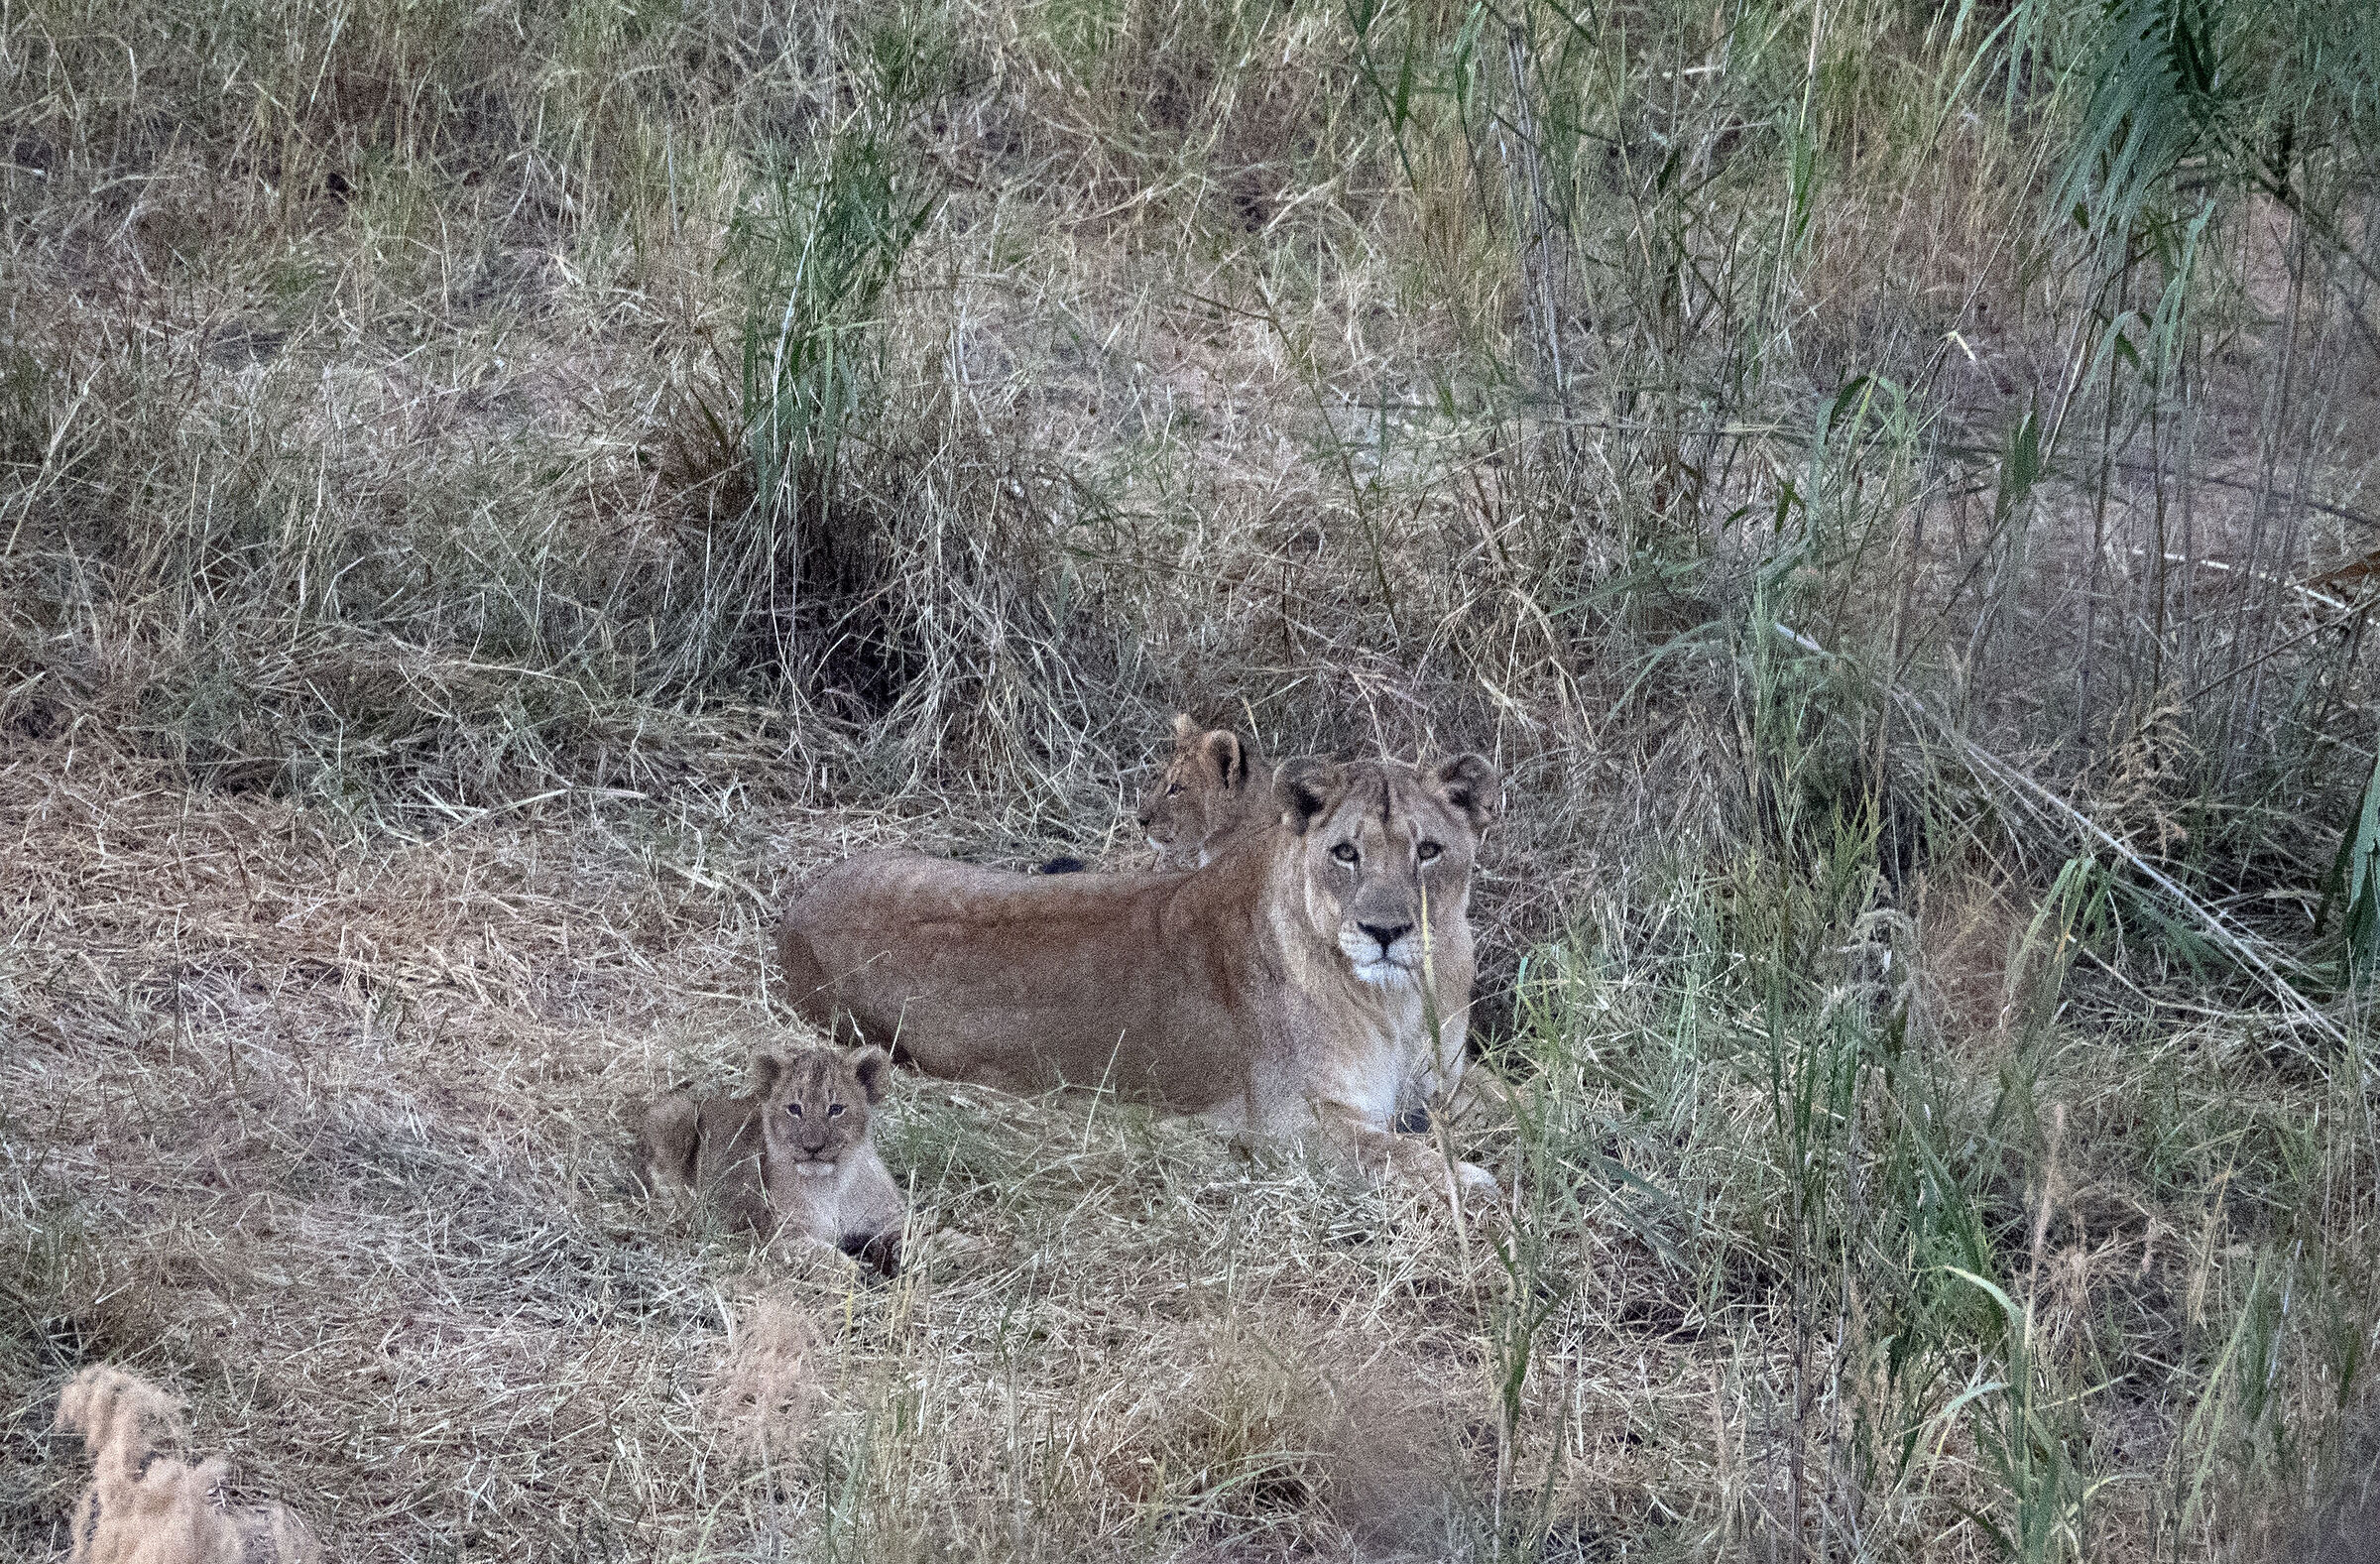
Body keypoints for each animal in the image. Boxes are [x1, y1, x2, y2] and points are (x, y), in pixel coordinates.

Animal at [636, 1045, 905, 1275]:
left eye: (836, 1109)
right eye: (794, 1109)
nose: (812, 1147)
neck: (832, 1183)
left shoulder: (890, 1215)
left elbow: (908, 1235)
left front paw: (898, 1258)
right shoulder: (780, 1237)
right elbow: (824, 1257)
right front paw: (853, 1271)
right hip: (673, 1114)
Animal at [777, 754, 1503, 1204]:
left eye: (1428, 850)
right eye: (1346, 852)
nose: (1386, 931)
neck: (1401, 999)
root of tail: (795, 906)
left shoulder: (1448, 1079)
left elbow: (1511, 1097)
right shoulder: (1290, 1126)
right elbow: (1399, 1156)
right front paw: (1476, 1181)